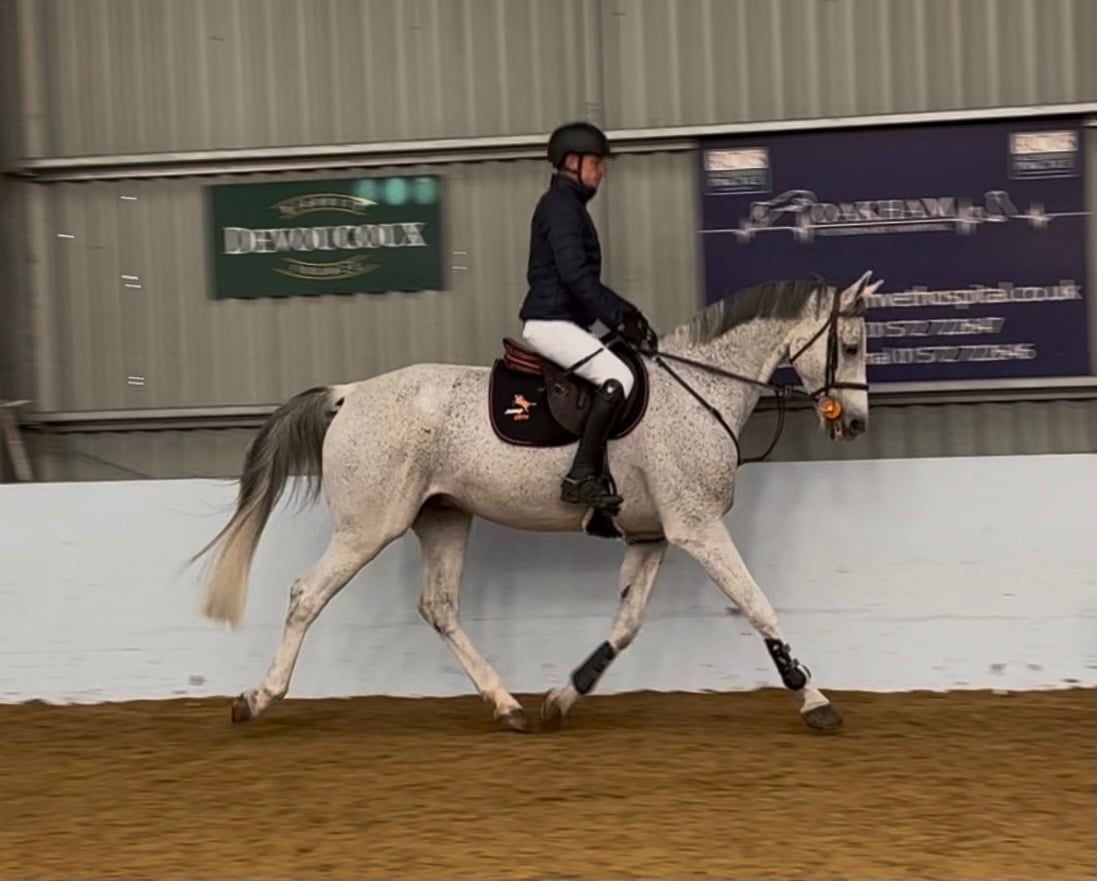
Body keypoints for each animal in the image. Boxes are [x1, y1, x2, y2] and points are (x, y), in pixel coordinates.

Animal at [192, 271, 880, 733]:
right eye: (849, 347)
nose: (855, 425)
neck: (700, 387)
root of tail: (352, 392)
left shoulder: (653, 536)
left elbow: (626, 625)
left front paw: (562, 696)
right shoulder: (697, 527)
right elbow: (758, 605)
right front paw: (813, 700)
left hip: (444, 517)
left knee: (438, 607)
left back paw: (507, 706)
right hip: (368, 528)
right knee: (306, 596)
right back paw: (256, 699)